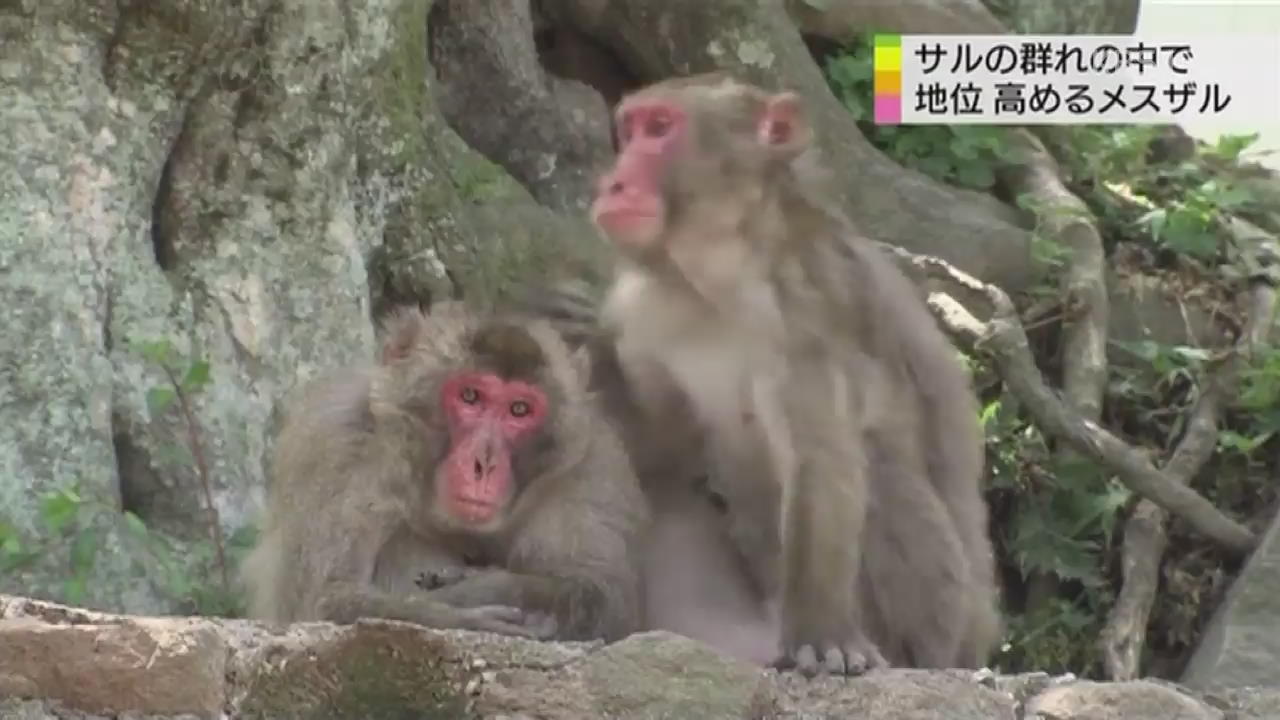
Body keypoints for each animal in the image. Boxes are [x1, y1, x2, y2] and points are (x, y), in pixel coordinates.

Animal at [241, 301, 650, 638]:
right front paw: (460, 610)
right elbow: (326, 600)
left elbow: (605, 599)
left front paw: (486, 585)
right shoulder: (341, 441)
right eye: (470, 396)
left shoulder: (588, 471)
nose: (484, 463)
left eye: (519, 409)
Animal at [527, 73, 998, 671]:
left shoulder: (808, 308)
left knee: (878, 467)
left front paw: (822, 634)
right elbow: (659, 451)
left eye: (660, 128)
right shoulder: (643, 306)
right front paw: (576, 332)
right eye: (629, 131)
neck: (722, 276)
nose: (613, 183)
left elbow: (820, 458)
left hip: (946, 619)